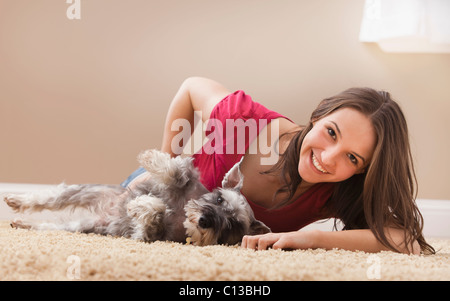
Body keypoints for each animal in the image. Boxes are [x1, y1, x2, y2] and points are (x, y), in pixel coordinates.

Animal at [4, 149, 270, 245]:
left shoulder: (146, 236)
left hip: (81, 227)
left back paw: (22, 223)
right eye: (219, 199)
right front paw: (150, 158)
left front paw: (141, 205)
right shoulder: (186, 179)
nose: (204, 220)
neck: (181, 216)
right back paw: (16, 200)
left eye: (233, 224)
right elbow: (176, 173)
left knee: (49, 225)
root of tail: (105, 212)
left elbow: (156, 212)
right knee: (51, 198)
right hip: (86, 191)